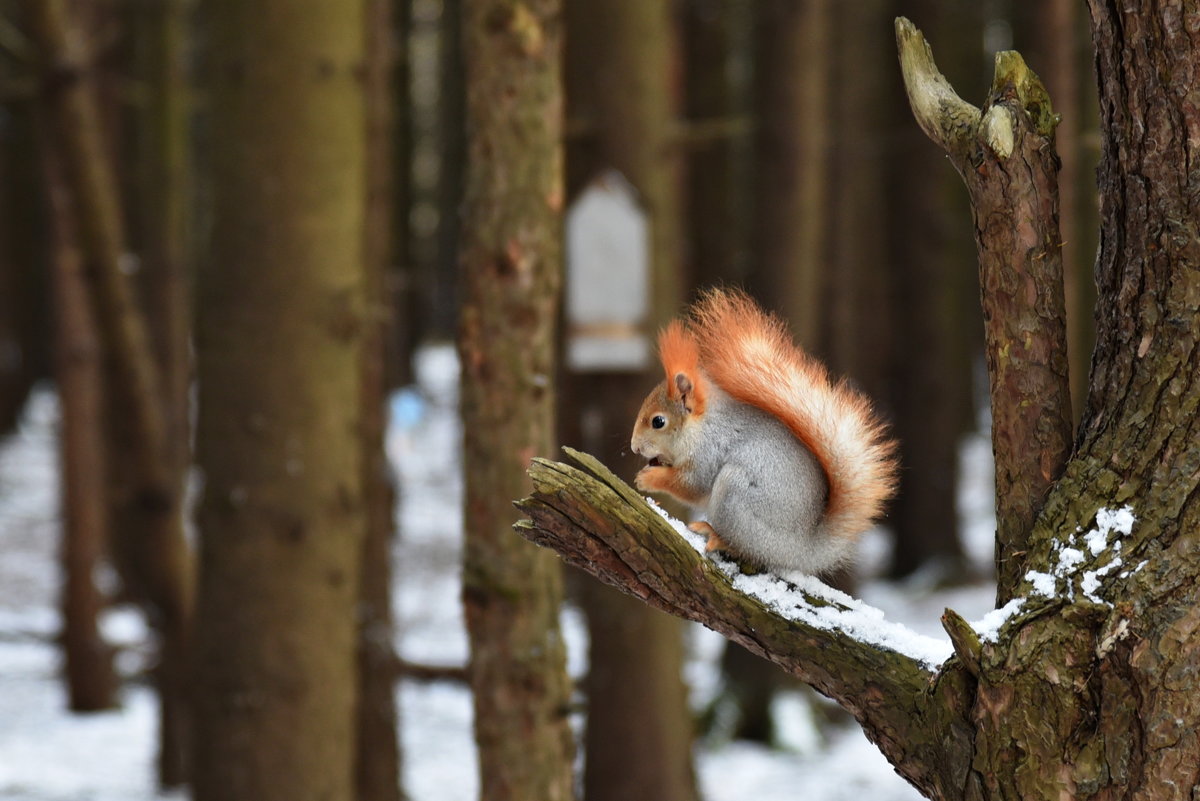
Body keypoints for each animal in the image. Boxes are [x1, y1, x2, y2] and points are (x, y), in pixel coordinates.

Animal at [628, 287, 902, 575]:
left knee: (747, 548)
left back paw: (718, 536)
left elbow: (690, 484)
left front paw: (648, 478)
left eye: (658, 421)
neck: (701, 425)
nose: (635, 447)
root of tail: (802, 550)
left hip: (736, 496)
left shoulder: (708, 453)